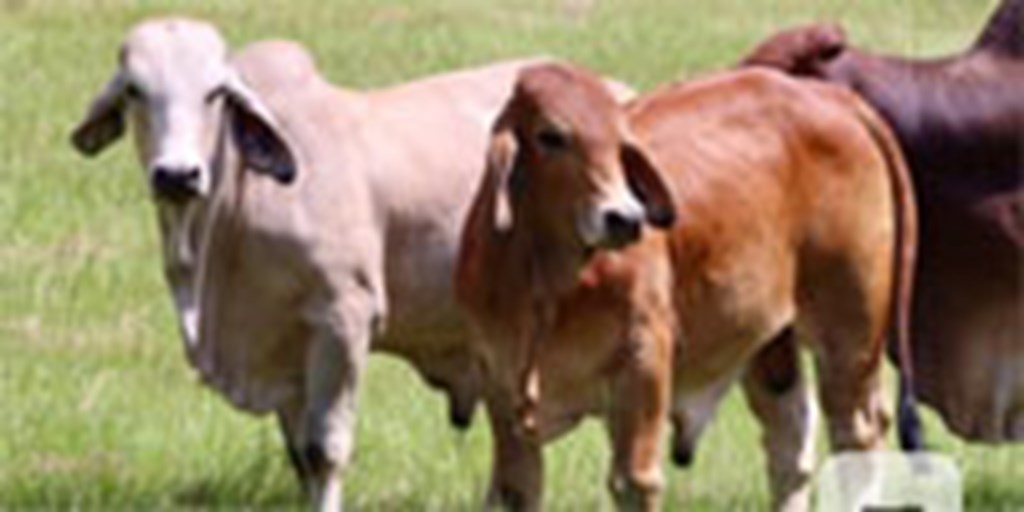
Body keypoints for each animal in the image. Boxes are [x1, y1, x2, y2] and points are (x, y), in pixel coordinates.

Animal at [460, 64, 917, 512]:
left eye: (621, 140)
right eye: (550, 136)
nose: (625, 218)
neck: (544, 281)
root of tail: (832, 97)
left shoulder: (643, 358)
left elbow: (634, 482)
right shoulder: (498, 382)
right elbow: (516, 489)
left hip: (851, 335)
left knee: (856, 435)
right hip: (769, 337)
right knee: (789, 440)